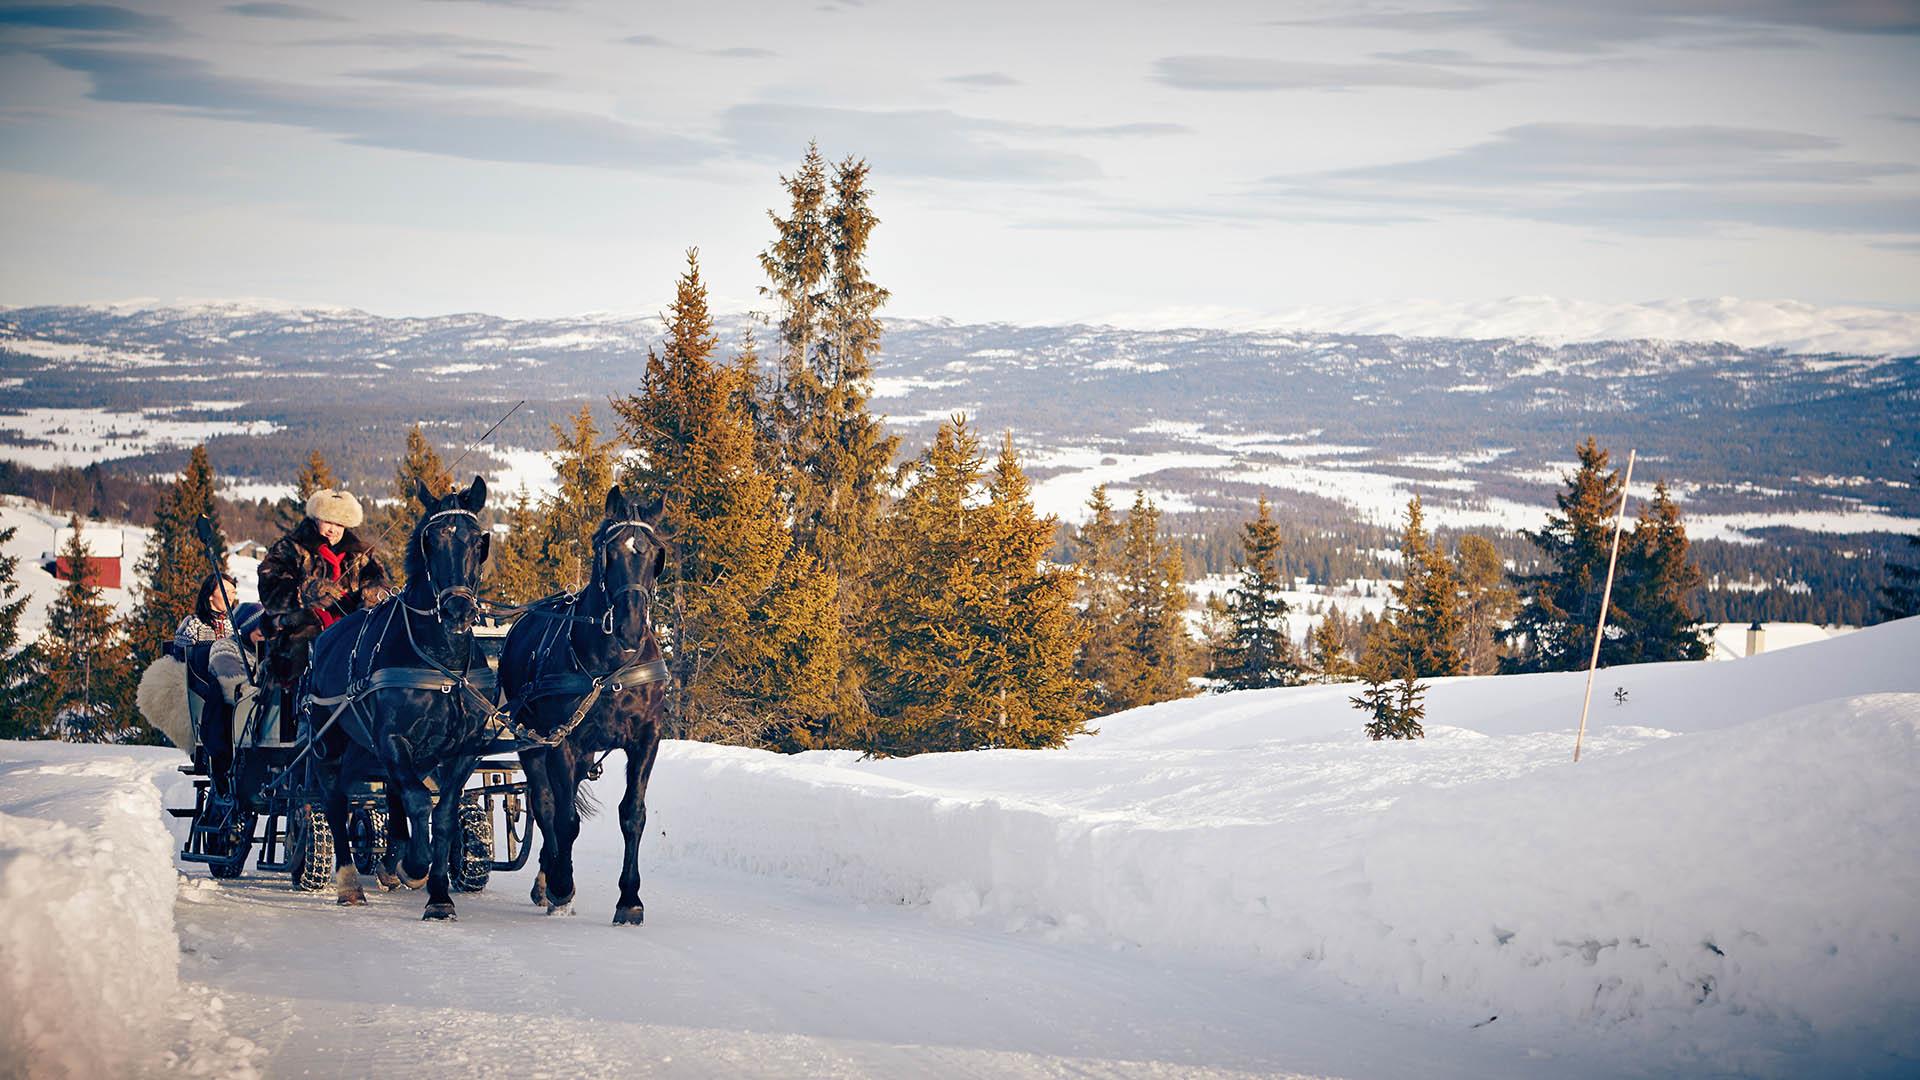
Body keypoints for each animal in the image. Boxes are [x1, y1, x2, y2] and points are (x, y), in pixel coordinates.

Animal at [303, 476, 491, 914]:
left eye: (478, 541)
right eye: (430, 542)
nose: (457, 610)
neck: (439, 660)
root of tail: (323, 639)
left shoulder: (462, 748)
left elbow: (442, 813)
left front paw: (438, 897)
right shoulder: (392, 739)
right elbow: (420, 801)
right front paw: (415, 866)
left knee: (391, 792)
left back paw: (390, 862)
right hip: (330, 743)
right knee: (335, 801)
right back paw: (351, 884)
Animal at [499, 484, 672, 922]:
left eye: (655, 555)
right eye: (607, 551)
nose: (630, 626)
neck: (611, 666)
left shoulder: (646, 738)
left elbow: (632, 813)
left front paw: (630, 899)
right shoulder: (563, 742)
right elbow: (565, 819)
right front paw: (563, 887)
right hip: (533, 741)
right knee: (545, 806)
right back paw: (551, 880)